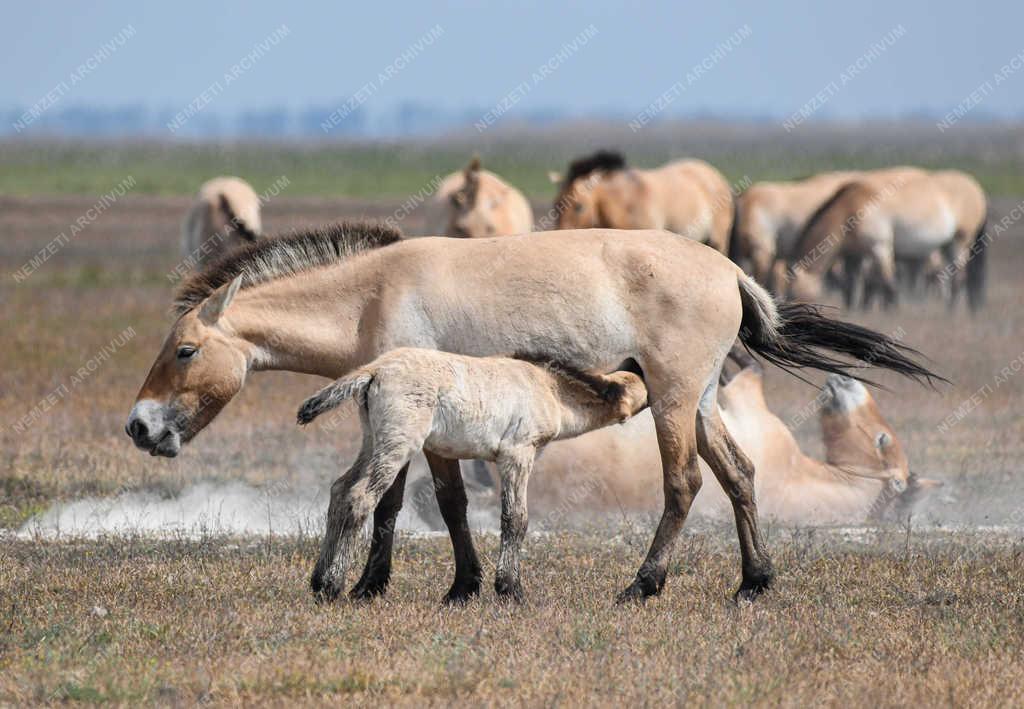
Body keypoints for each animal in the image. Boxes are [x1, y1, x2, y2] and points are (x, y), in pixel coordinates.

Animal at [296, 346, 647, 602]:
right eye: (645, 391)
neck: (549, 390)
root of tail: (374, 371)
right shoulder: (516, 455)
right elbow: (515, 519)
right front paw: (510, 590)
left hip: (372, 440)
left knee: (339, 490)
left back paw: (318, 580)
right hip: (398, 445)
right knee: (360, 497)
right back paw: (333, 585)